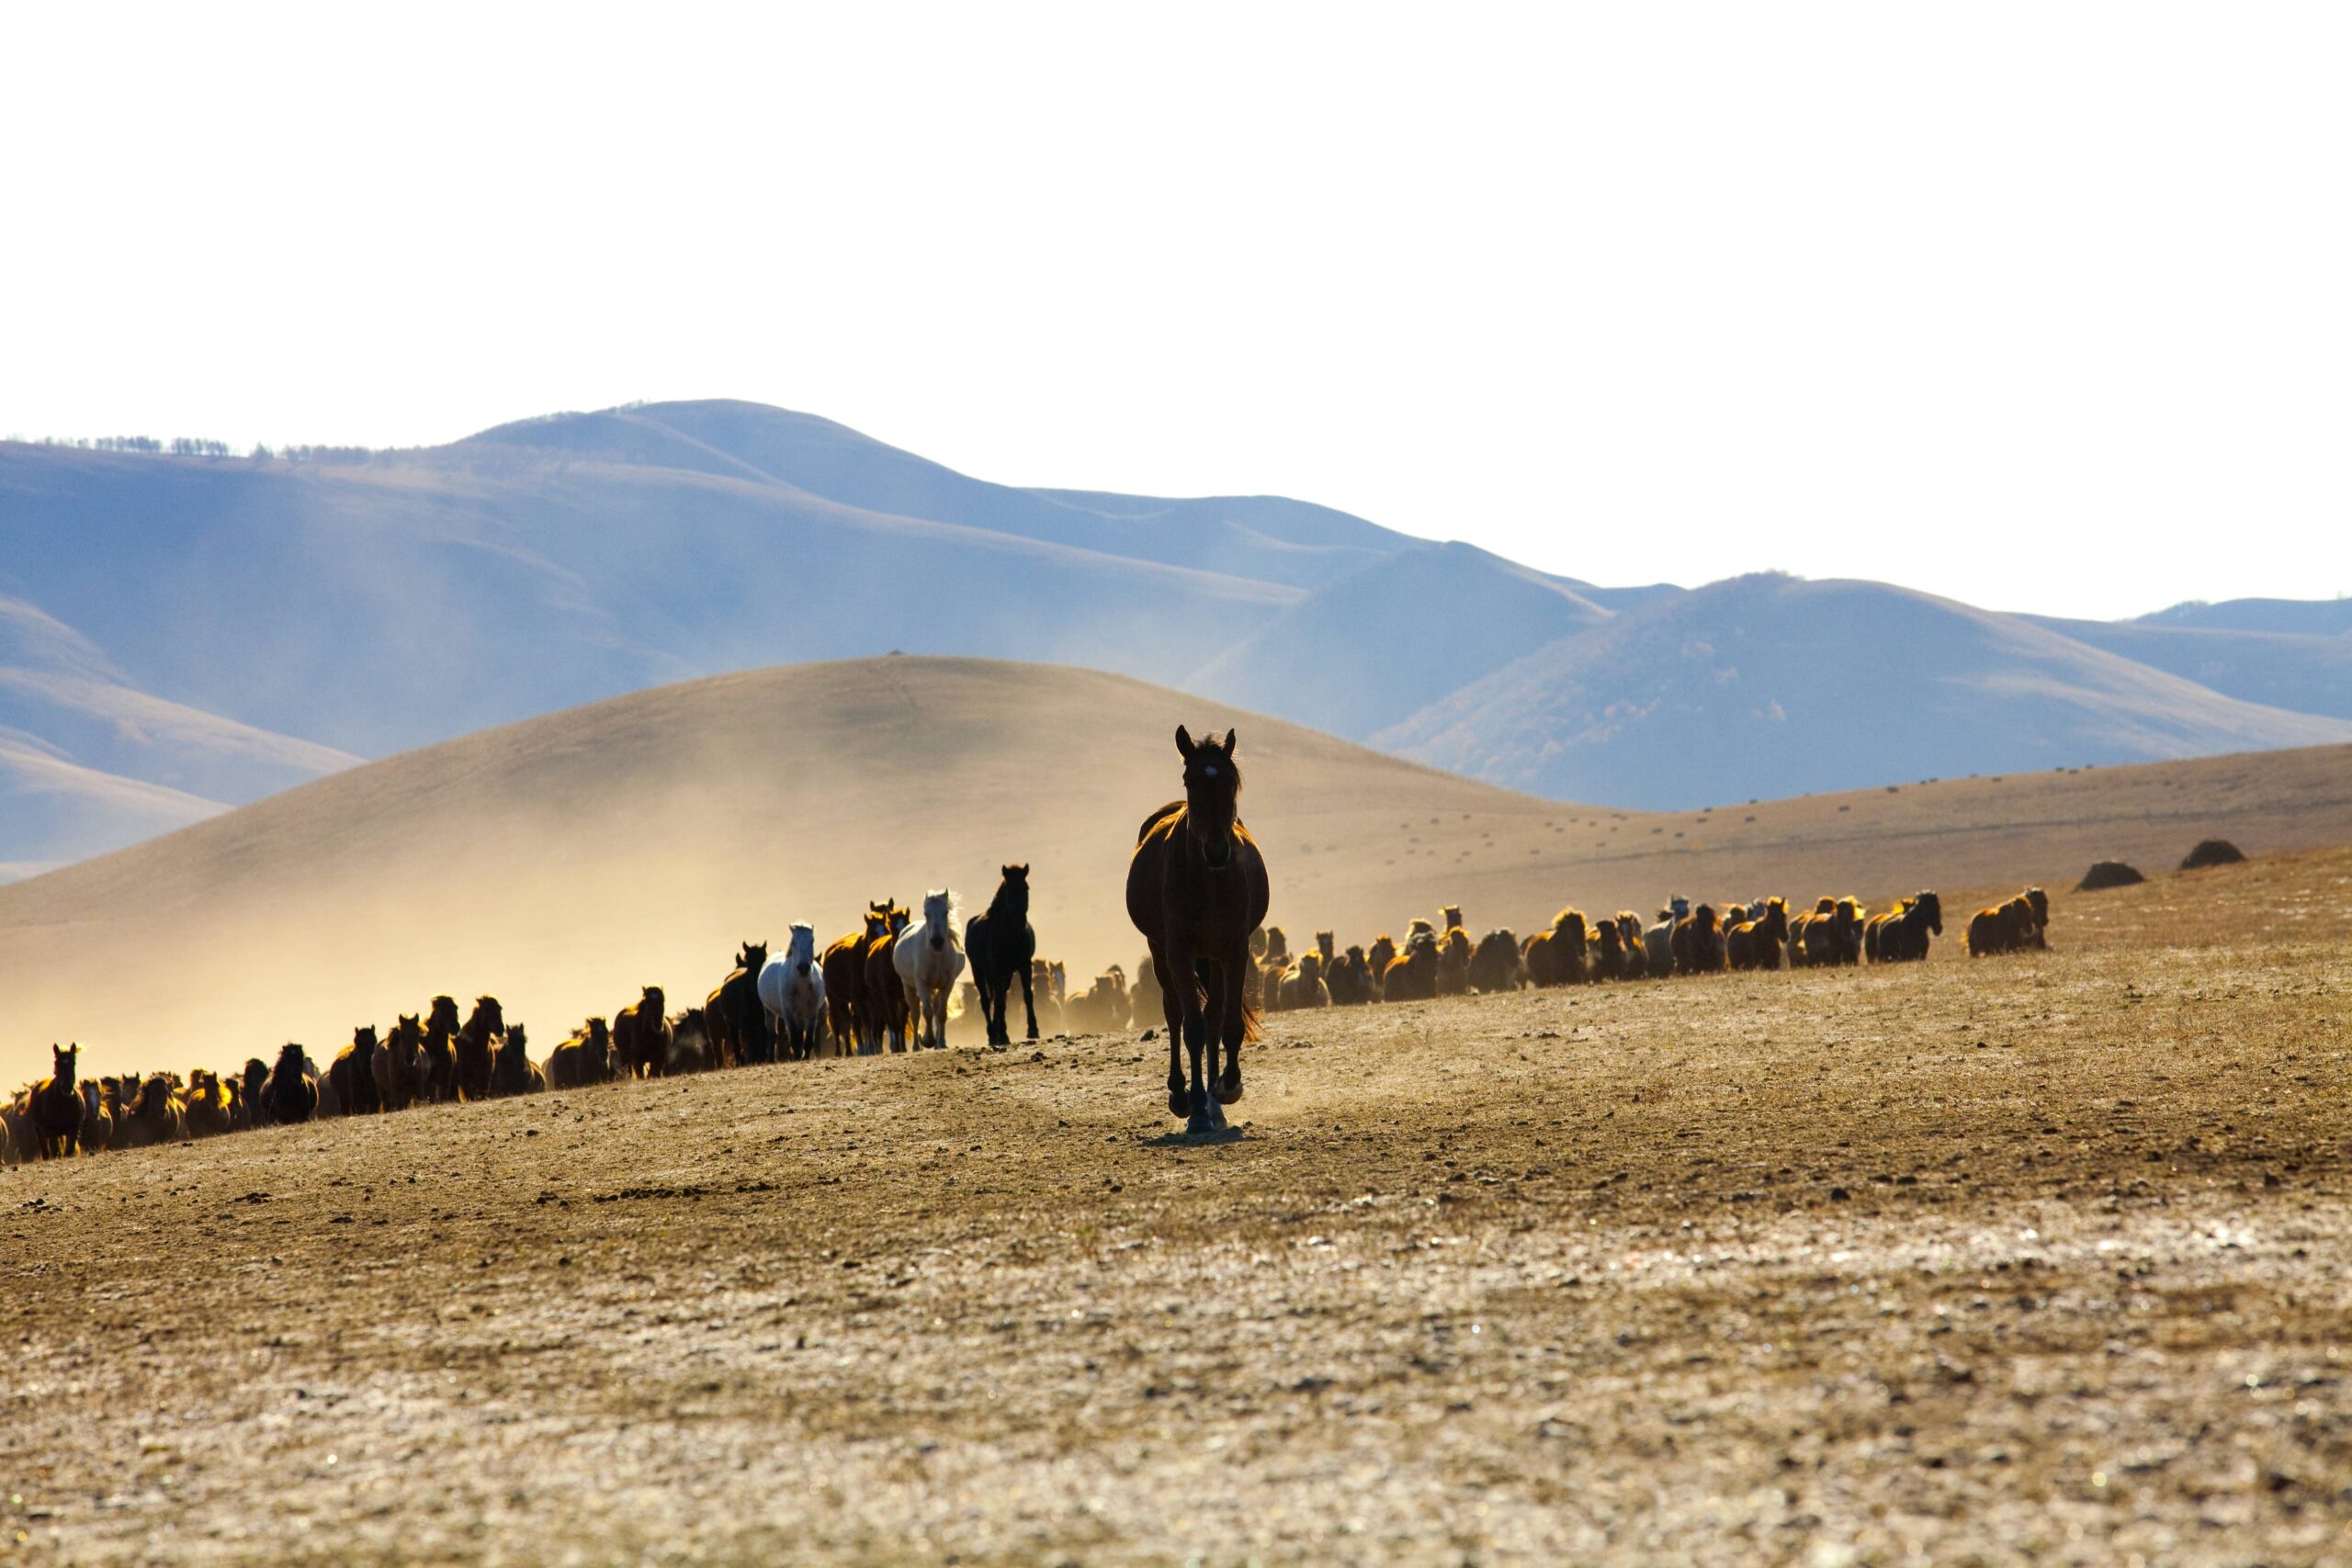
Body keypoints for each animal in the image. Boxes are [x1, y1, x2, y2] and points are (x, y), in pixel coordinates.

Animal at [757, 926, 832, 1062]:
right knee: (772, 1034)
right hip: (769, 1010)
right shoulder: (788, 1013)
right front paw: (797, 1057)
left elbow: (808, 1039)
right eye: (793, 942)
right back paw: (772, 1059)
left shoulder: (812, 1012)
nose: (803, 968)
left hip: (800, 1014)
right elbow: (794, 1038)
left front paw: (806, 1057)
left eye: (812, 940)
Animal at [898, 893, 973, 1053]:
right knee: (915, 1014)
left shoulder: (948, 983)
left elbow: (941, 1013)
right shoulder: (921, 983)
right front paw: (928, 1041)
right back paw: (916, 1046)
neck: (936, 956)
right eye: (926, 913)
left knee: (937, 1009)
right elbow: (927, 1011)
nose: (937, 942)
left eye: (946, 913)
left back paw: (938, 1043)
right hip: (909, 986)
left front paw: (941, 1042)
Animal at [964, 864, 1039, 1048]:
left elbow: (1027, 995)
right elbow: (997, 1002)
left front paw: (1033, 1029)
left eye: (1026, 887)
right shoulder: (996, 969)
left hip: (1006, 973)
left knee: (1000, 997)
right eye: (1009, 889)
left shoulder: (1024, 965)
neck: (1009, 933)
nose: (1021, 920)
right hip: (979, 970)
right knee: (986, 1001)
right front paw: (1003, 1035)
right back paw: (993, 1034)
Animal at [1124, 728, 1270, 1133]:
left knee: (1215, 1015)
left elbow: (1227, 1022)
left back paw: (1213, 1101)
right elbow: (1192, 1026)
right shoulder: (1179, 950)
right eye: (1190, 780)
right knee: (1175, 1013)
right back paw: (1183, 1096)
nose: (1218, 851)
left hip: (1214, 956)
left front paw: (1227, 1089)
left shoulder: (1234, 948)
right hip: (1161, 951)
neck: (1208, 880)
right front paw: (1197, 1109)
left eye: (1230, 781)